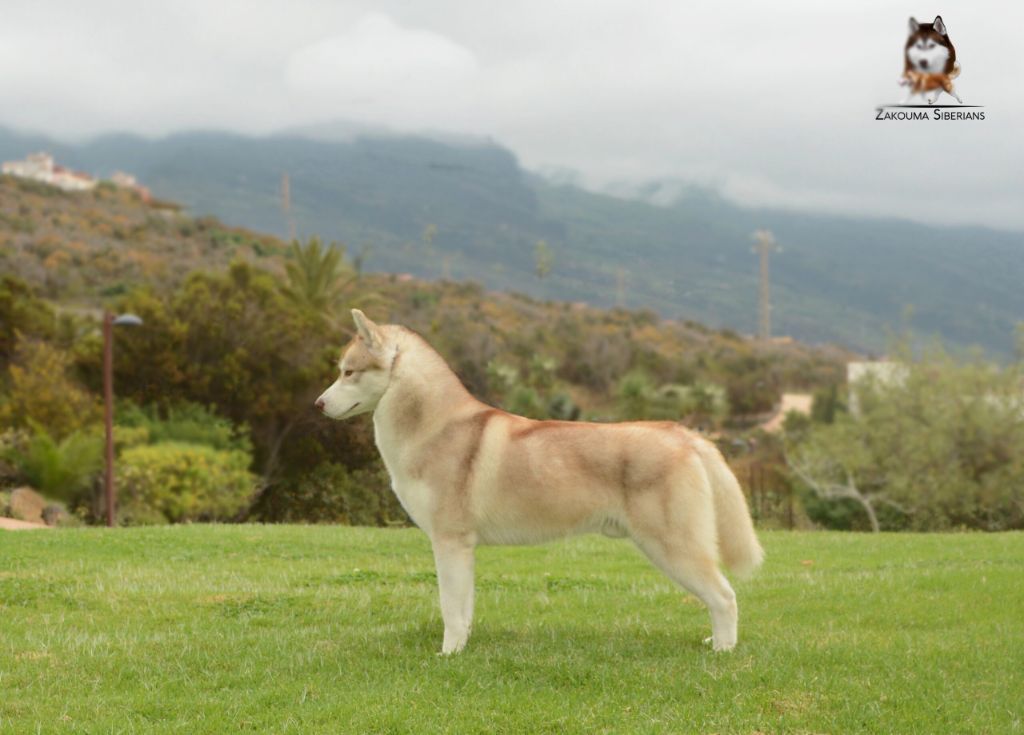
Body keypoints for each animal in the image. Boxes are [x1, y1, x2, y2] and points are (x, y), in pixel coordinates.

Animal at [316, 310, 764, 654]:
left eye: (349, 372)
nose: (318, 404)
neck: (434, 427)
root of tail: (684, 434)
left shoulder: (449, 540)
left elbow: (449, 607)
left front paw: (448, 653)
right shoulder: (464, 548)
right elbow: (464, 608)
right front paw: (463, 648)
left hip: (672, 546)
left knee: (725, 597)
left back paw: (723, 650)